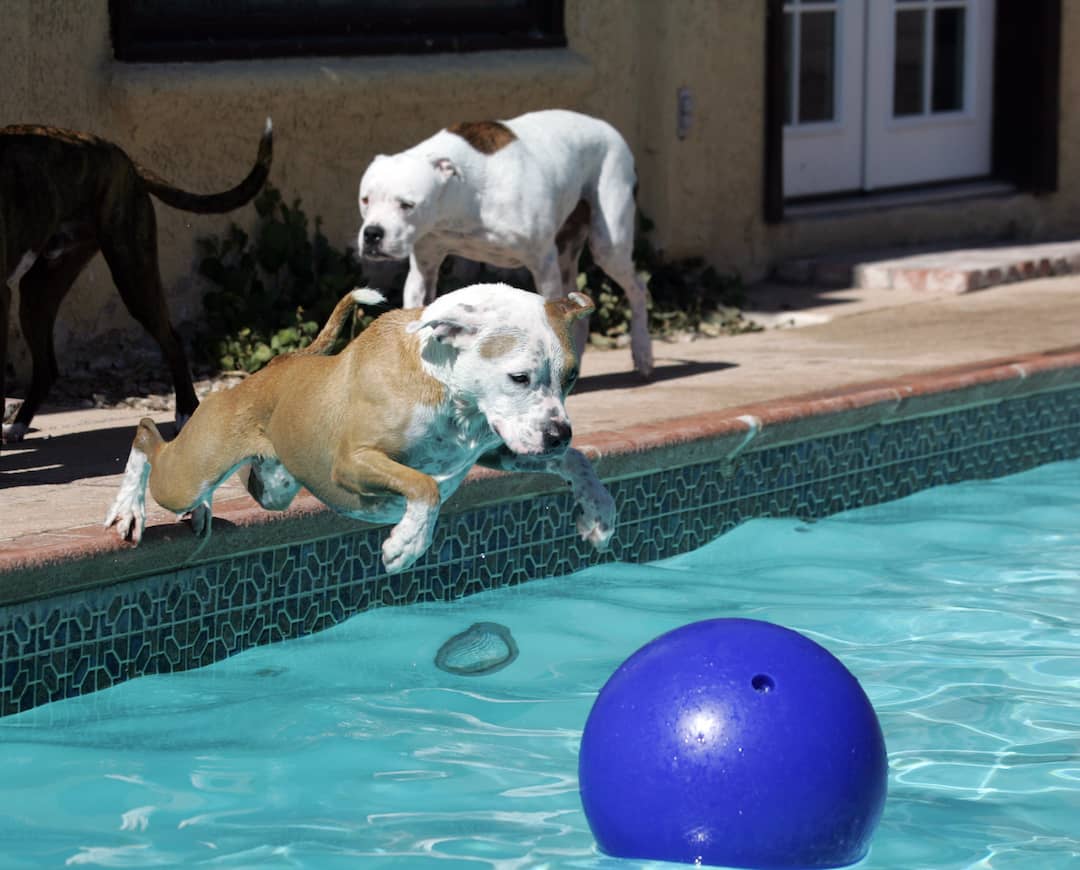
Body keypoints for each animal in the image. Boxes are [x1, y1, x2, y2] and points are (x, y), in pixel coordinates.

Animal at [358, 107, 652, 377]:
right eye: (365, 199)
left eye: (407, 204)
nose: (372, 233)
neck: (462, 198)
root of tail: (606, 126)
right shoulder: (424, 269)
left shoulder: (544, 265)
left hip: (609, 245)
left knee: (637, 288)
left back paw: (643, 352)